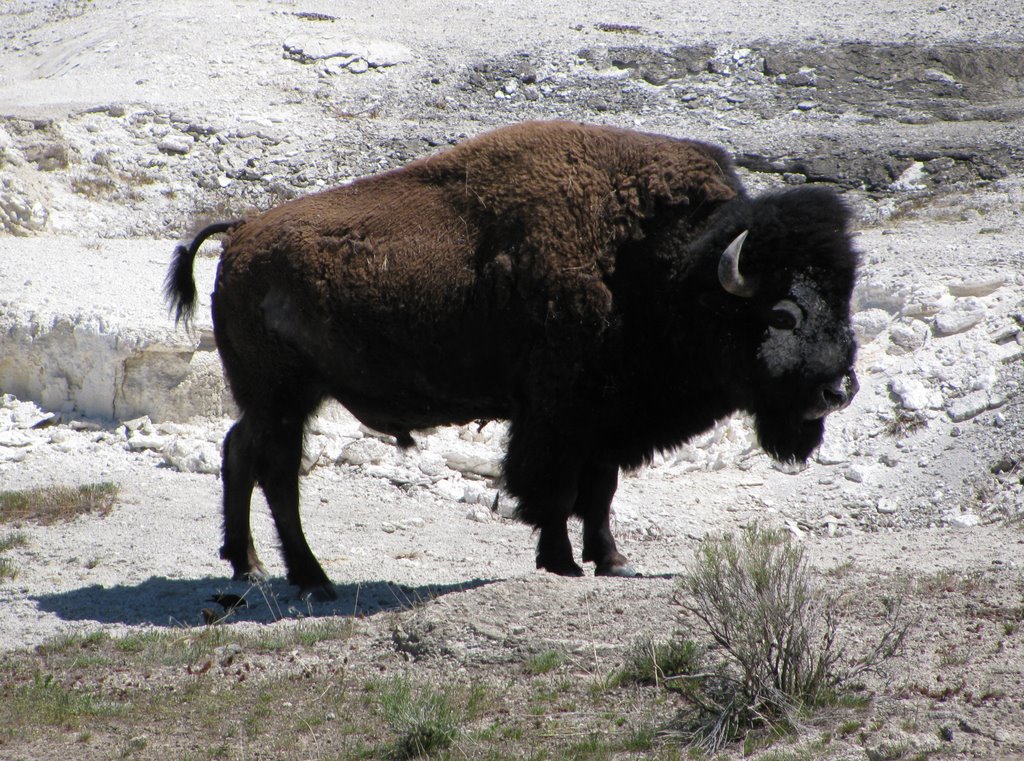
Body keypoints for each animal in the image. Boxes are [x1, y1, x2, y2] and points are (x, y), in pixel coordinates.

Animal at [165, 120, 856, 602]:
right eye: (782, 314)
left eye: (845, 296)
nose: (838, 389)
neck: (663, 267)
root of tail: (242, 233)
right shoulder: (556, 417)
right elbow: (553, 491)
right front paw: (561, 563)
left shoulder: (604, 420)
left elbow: (599, 492)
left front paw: (613, 561)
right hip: (284, 397)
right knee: (277, 474)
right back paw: (312, 579)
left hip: (273, 400)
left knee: (240, 452)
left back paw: (249, 566)